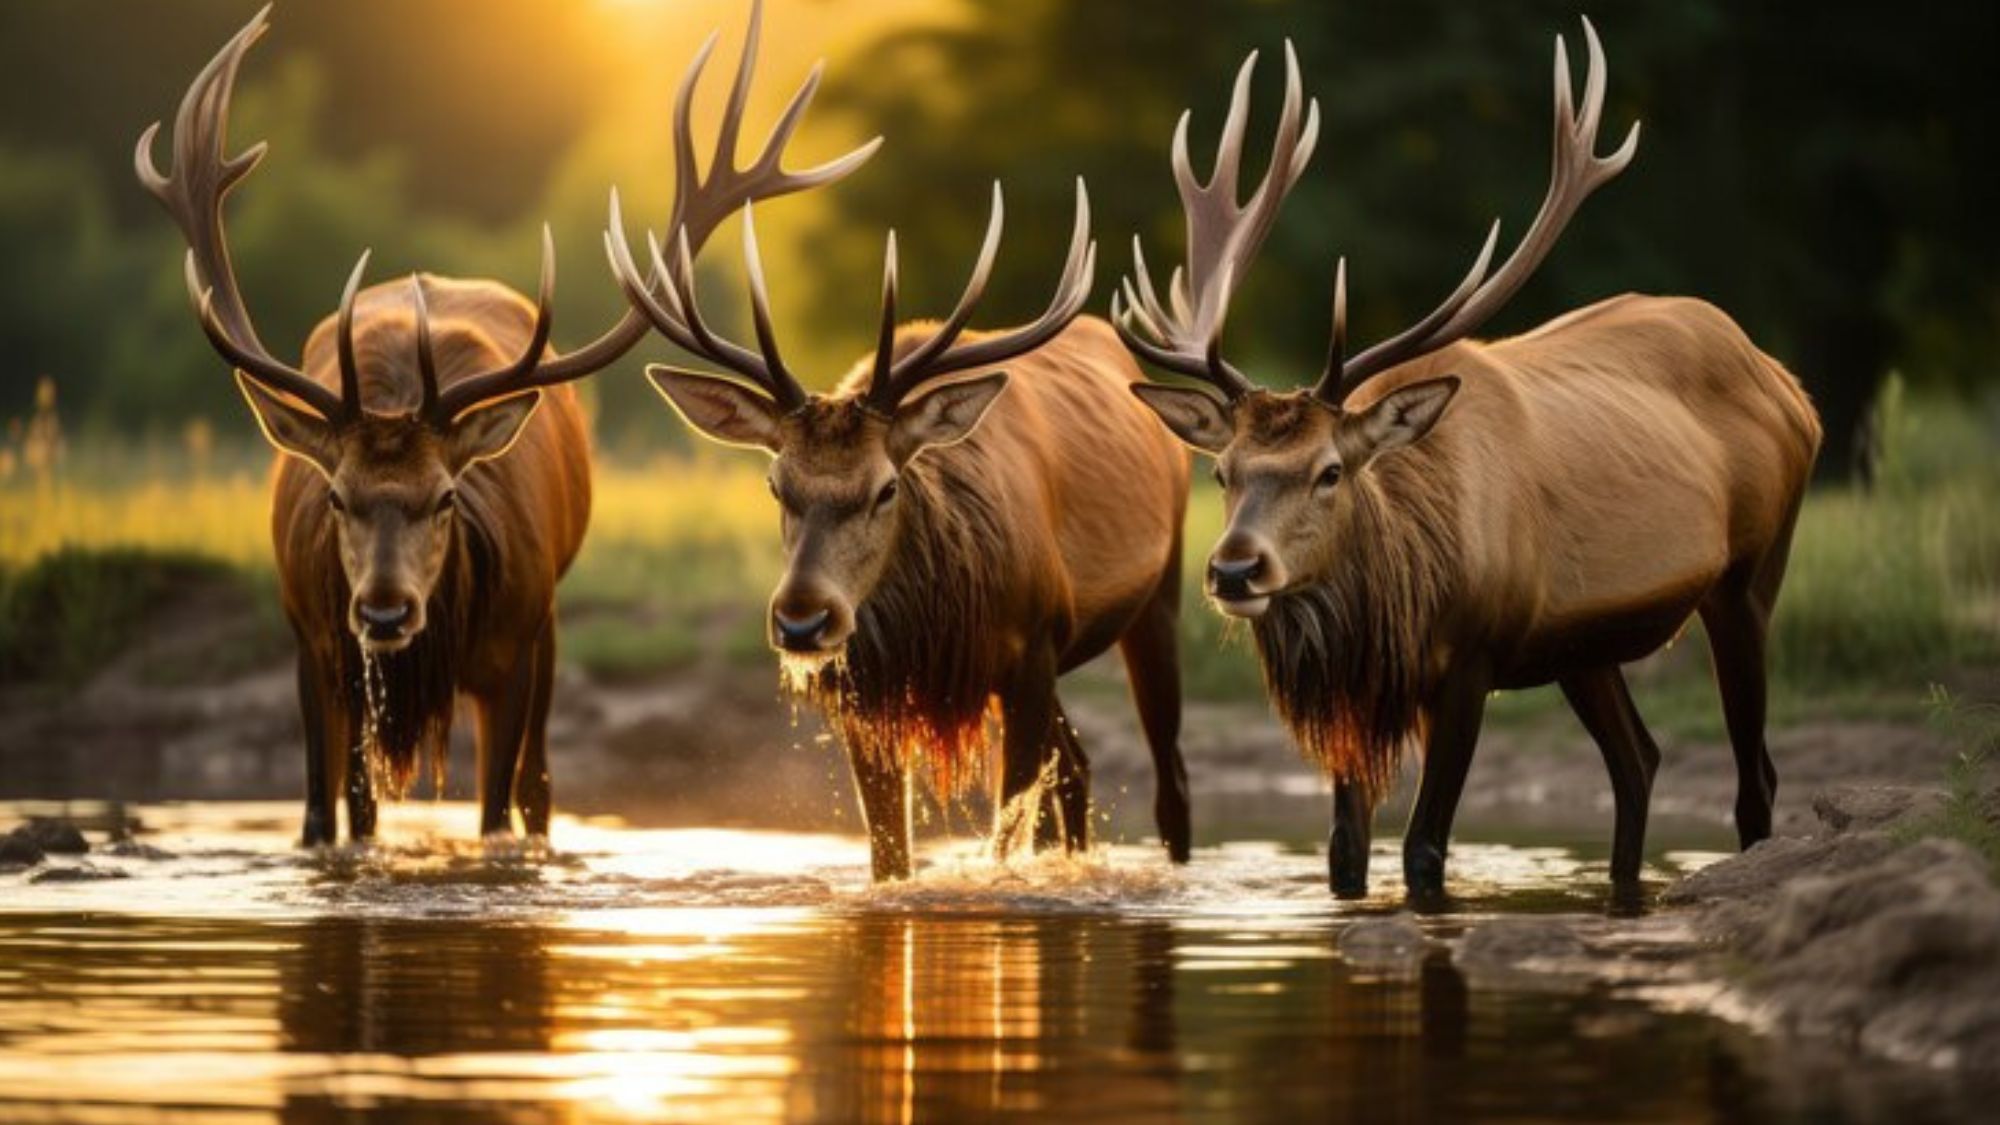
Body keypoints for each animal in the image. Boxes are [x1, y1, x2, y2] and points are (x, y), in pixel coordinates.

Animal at [133, 0, 868, 840]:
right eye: (336, 497)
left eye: (446, 496)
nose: (384, 609)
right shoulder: (312, 642)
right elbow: (329, 815)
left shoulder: (513, 643)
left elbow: (495, 812)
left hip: (545, 619)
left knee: (538, 787)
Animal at [608, 175, 1192, 880]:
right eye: (776, 484)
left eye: (887, 487)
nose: (802, 620)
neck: (934, 628)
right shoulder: (873, 694)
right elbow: (891, 857)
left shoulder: (1031, 651)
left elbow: (1003, 840)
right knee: (1076, 769)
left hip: (1157, 595)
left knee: (1168, 780)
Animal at [1120, 24, 1824, 892]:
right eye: (1224, 471)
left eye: (1330, 471)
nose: (1234, 570)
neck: (1404, 591)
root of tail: (1790, 385)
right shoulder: (1362, 691)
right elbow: (1343, 851)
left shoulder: (1472, 659)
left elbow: (1425, 848)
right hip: (1584, 646)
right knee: (1639, 759)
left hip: (1750, 575)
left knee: (1755, 774)